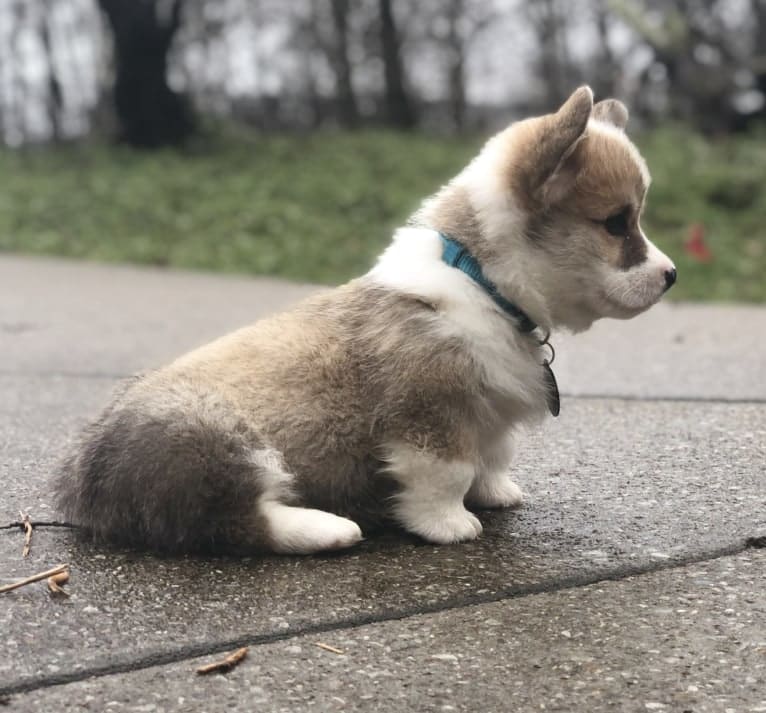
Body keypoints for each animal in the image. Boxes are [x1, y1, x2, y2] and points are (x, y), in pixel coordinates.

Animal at [55, 86, 680, 556]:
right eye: (617, 223)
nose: (672, 275)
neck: (483, 282)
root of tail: (80, 482)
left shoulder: (487, 414)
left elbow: (492, 456)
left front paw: (497, 492)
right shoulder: (430, 415)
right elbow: (447, 473)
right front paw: (451, 526)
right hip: (211, 441)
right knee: (232, 520)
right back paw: (328, 527)